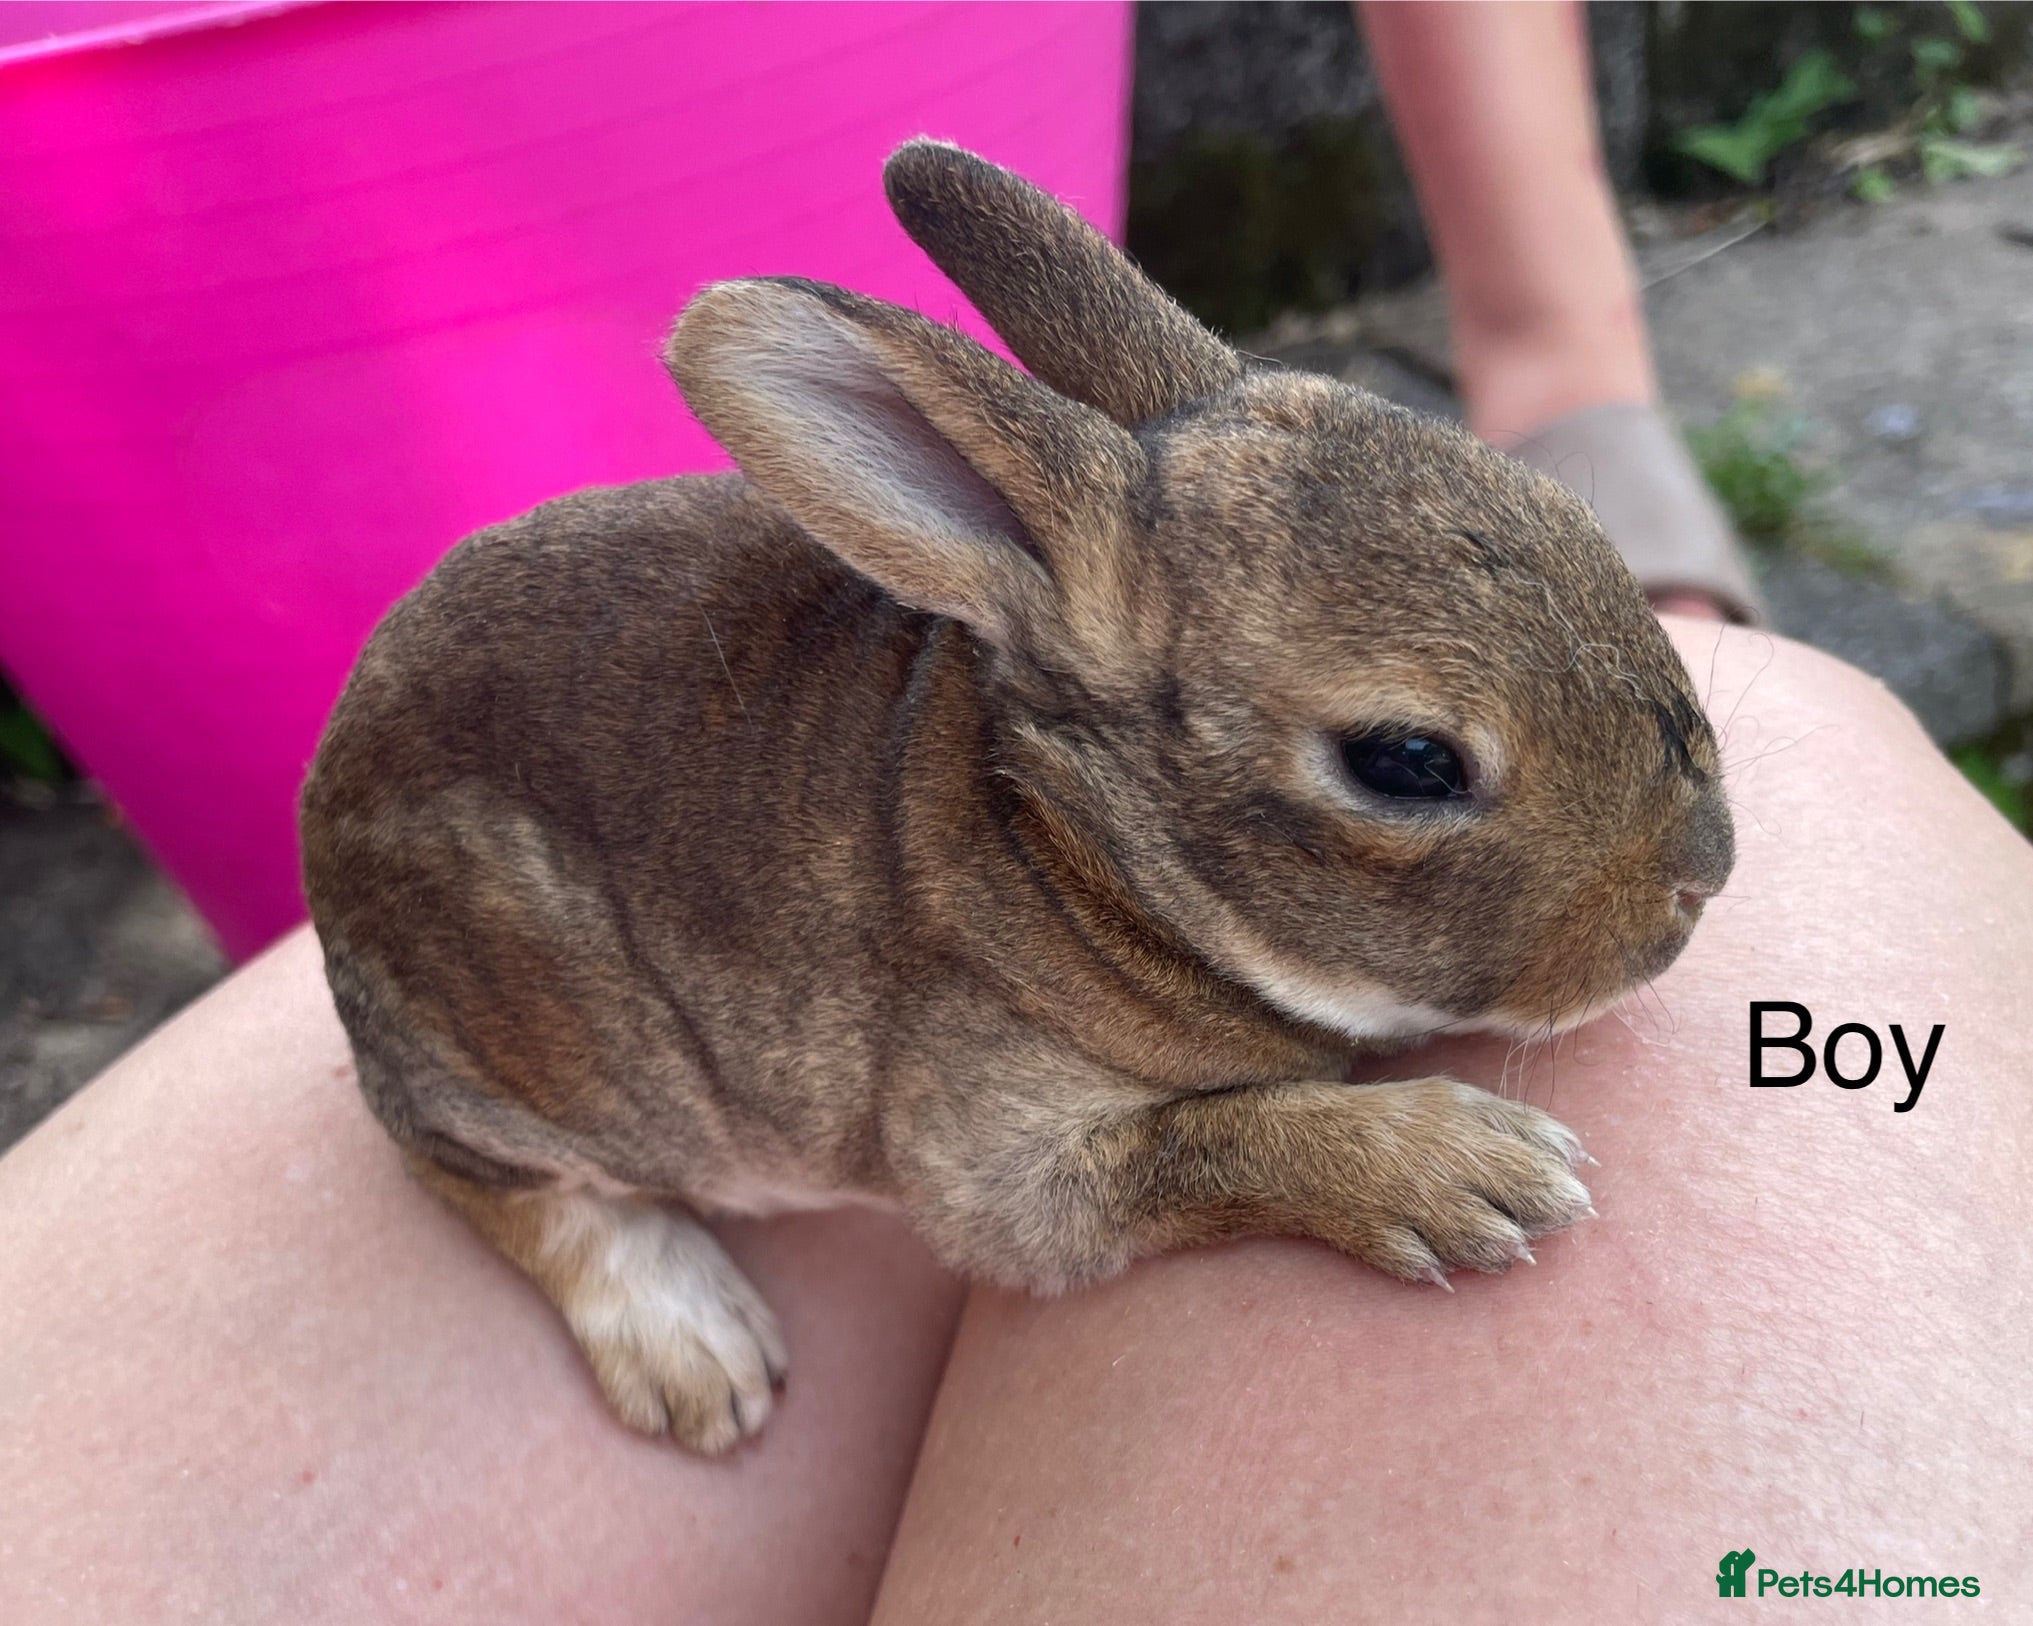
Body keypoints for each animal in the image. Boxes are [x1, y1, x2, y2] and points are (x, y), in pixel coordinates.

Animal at [300, 139, 1734, 1455]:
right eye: (1406, 762)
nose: (1698, 876)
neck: (1075, 847)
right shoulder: (986, 1143)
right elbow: (1190, 1152)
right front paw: (1463, 1176)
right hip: (527, 1047)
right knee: (473, 1174)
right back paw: (692, 1349)